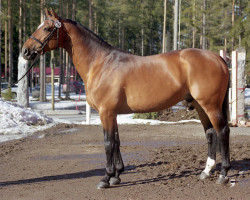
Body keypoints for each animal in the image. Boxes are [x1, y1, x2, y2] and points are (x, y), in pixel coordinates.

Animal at [23, 8, 230, 189]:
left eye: (47, 28)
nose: (25, 51)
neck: (100, 63)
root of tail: (218, 58)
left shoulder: (106, 112)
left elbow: (108, 143)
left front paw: (106, 179)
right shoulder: (112, 113)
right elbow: (116, 142)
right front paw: (116, 175)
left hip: (210, 105)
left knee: (222, 132)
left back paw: (223, 175)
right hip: (200, 105)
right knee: (210, 133)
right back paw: (206, 172)